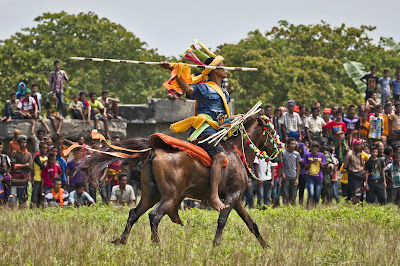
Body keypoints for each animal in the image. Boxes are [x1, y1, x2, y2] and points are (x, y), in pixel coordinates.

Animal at [83, 115, 280, 247]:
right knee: (154, 215)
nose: (278, 152)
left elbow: (251, 224)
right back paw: (156, 245)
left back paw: (122, 240)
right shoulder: (232, 196)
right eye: (272, 131)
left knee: (134, 213)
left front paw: (266, 246)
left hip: (150, 194)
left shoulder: (237, 198)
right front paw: (215, 246)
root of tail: (153, 150)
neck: (237, 152)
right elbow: (222, 220)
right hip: (170, 195)